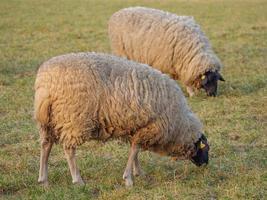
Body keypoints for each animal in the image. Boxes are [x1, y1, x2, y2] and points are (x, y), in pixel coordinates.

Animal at [35, 52, 211, 187]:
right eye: (205, 149)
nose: (206, 164)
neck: (179, 124)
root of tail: (46, 84)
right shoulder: (150, 127)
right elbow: (135, 150)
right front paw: (129, 179)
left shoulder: (137, 128)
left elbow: (135, 150)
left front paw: (137, 172)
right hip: (75, 119)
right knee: (69, 149)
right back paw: (77, 180)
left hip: (47, 121)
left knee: (45, 145)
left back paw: (43, 180)